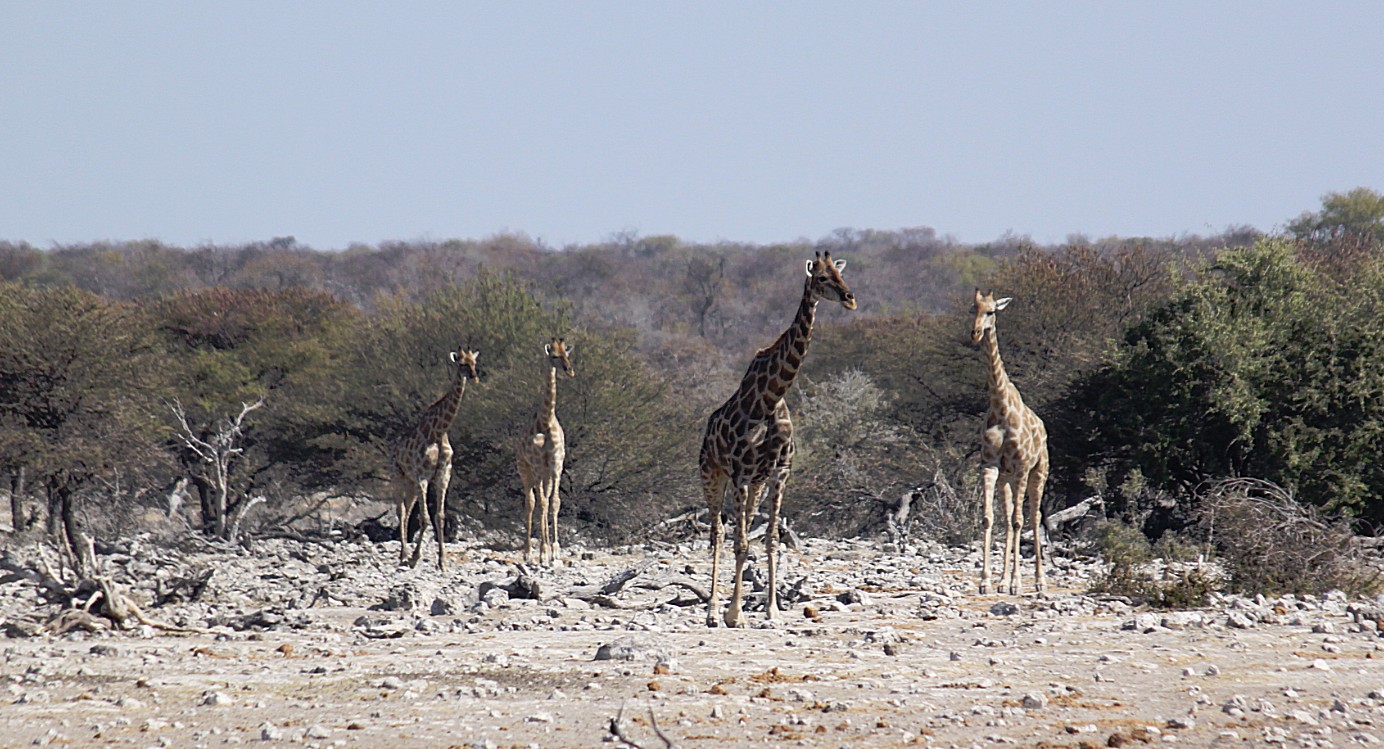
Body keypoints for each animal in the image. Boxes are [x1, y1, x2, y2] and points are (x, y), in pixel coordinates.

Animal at [387, 347, 478, 570]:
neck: (438, 431)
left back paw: (404, 554)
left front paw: (442, 562)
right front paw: (415, 558)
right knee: (401, 511)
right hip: (397, 475)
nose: (473, 376)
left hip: (410, 483)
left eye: (474, 363)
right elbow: (425, 518)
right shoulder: (423, 476)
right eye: (461, 363)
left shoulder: (443, 475)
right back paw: (403, 555)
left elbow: (440, 516)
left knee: (407, 511)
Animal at [517, 336, 575, 564]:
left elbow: (555, 502)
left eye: (568, 354)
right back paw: (528, 551)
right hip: (526, 470)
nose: (570, 371)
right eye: (555, 356)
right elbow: (541, 503)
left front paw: (555, 549)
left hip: (544, 474)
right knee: (531, 502)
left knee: (544, 499)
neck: (546, 420)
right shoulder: (536, 464)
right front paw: (543, 551)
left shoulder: (556, 465)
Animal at [703, 250, 852, 625]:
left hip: (754, 485)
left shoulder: (778, 473)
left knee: (737, 531)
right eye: (822, 279)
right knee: (718, 533)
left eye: (841, 275)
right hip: (712, 474)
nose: (850, 298)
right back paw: (712, 611)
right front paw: (734, 615)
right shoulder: (740, 474)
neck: (769, 398)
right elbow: (741, 542)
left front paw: (771, 610)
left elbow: (770, 540)